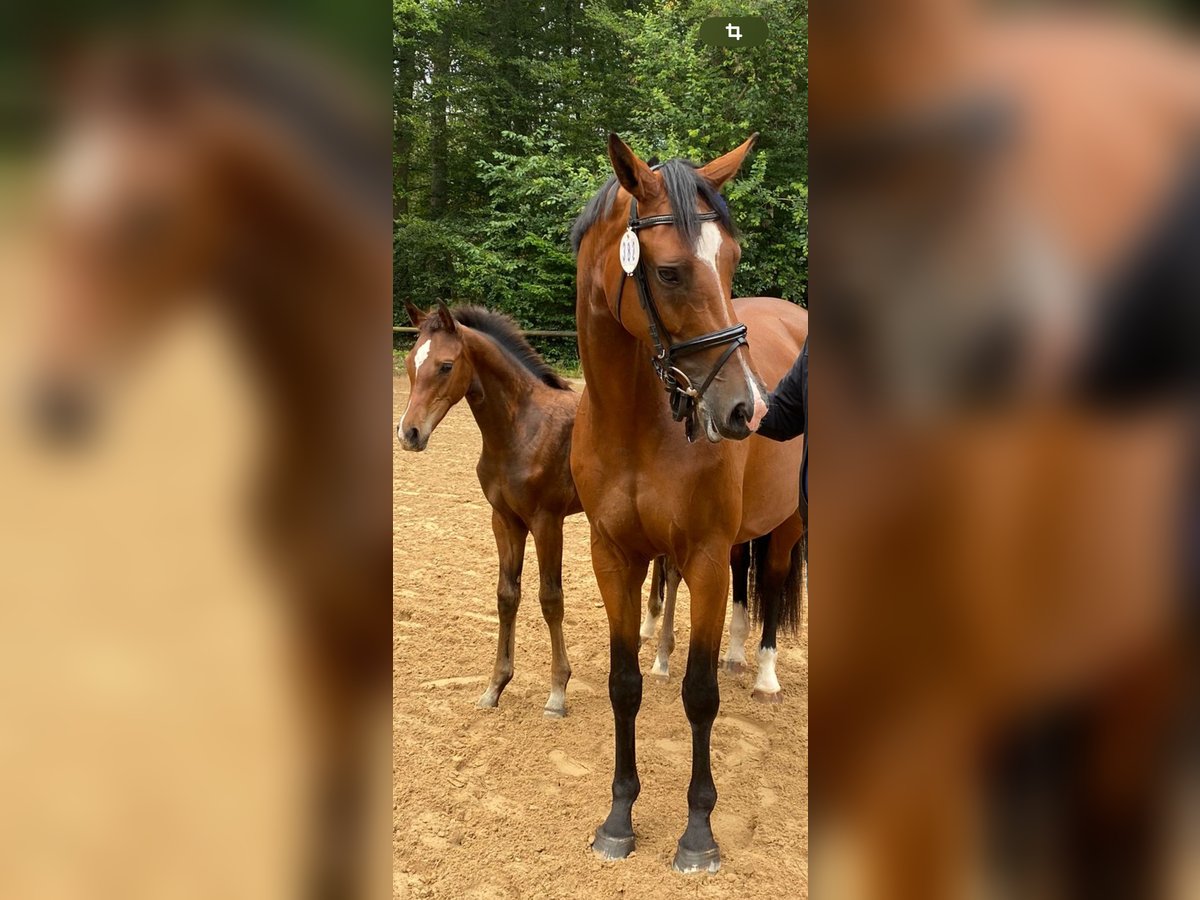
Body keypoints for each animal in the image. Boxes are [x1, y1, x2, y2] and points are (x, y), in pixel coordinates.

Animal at [398, 303, 580, 720]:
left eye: (446, 366)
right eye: (410, 362)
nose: (409, 433)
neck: (521, 428)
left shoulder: (547, 522)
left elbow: (551, 599)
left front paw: (557, 693)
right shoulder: (504, 520)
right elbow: (506, 596)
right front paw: (495, 687)